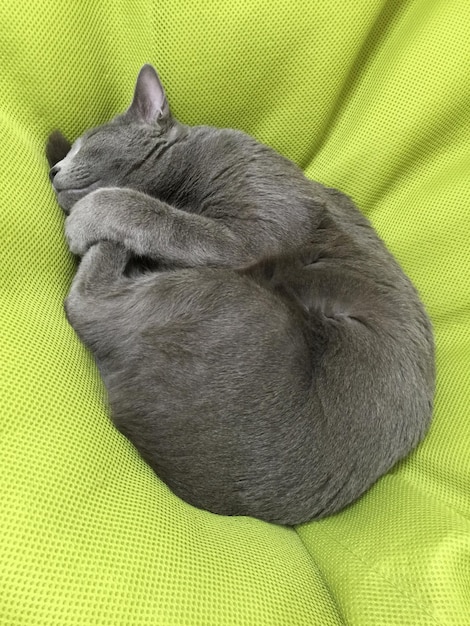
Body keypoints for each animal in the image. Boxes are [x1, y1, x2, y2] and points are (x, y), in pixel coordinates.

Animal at [46, 64, 436, 520]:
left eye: (86, 144)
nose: (54, 170)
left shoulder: (253, 231)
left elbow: (157, 215)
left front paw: (92, 212)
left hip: (229, 305)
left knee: (86, 302)